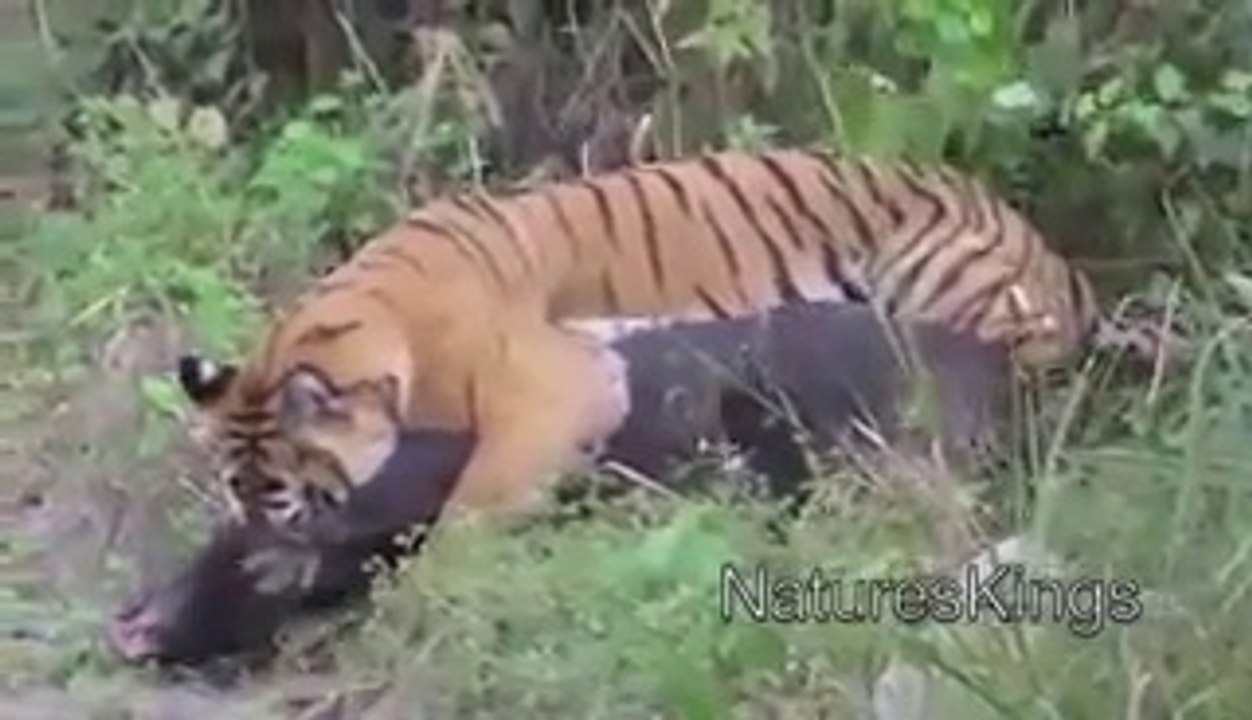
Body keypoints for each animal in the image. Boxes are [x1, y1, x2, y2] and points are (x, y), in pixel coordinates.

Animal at [175, 147, 1100, 531]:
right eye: (233, 488)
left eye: (282, 486)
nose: (255, 547)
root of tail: (1050, 251)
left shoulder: (560, 387)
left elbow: (470, 505)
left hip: (934, 292)